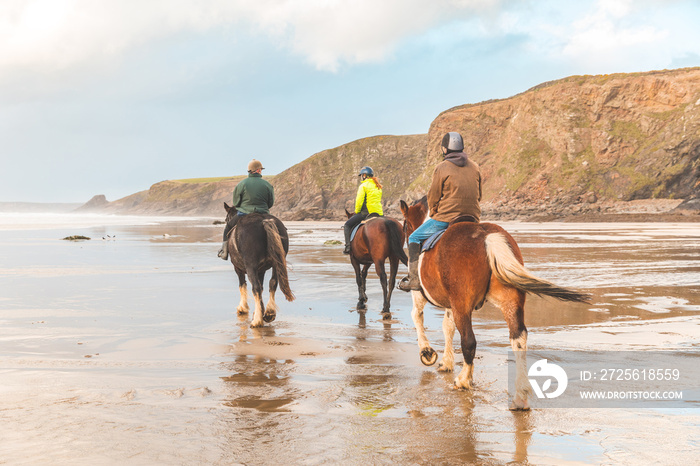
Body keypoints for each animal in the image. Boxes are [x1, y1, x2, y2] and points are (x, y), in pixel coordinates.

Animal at [400, 196, 592, 408]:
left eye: (406, 225)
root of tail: (487, 237)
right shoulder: (451, 304)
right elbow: (447, 327)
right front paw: (446, 362)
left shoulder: (423, 295)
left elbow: (417, 317)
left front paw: (426, 352)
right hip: (509, 300)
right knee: (518, 338)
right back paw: (520, 396)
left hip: (463, 305)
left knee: (469, 341)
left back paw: (464, 380)